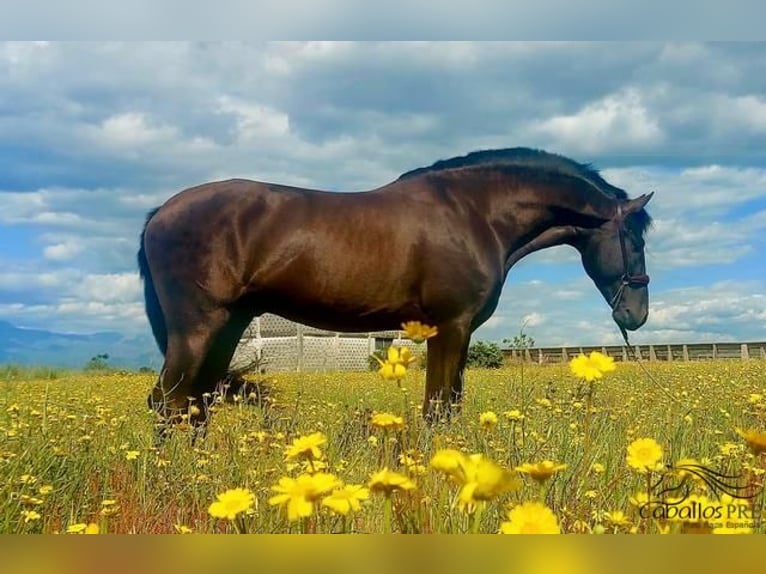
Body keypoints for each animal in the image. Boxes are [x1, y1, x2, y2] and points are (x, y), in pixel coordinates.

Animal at [140, 151, 656, 430]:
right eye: (635, 240)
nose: (636, 314)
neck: (474, 214)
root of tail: (160, 212)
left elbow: (450, 406)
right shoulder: (451, 326)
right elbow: (438, 409)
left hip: (229, 326)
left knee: (195, 403)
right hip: (197, 328)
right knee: (169, 402)